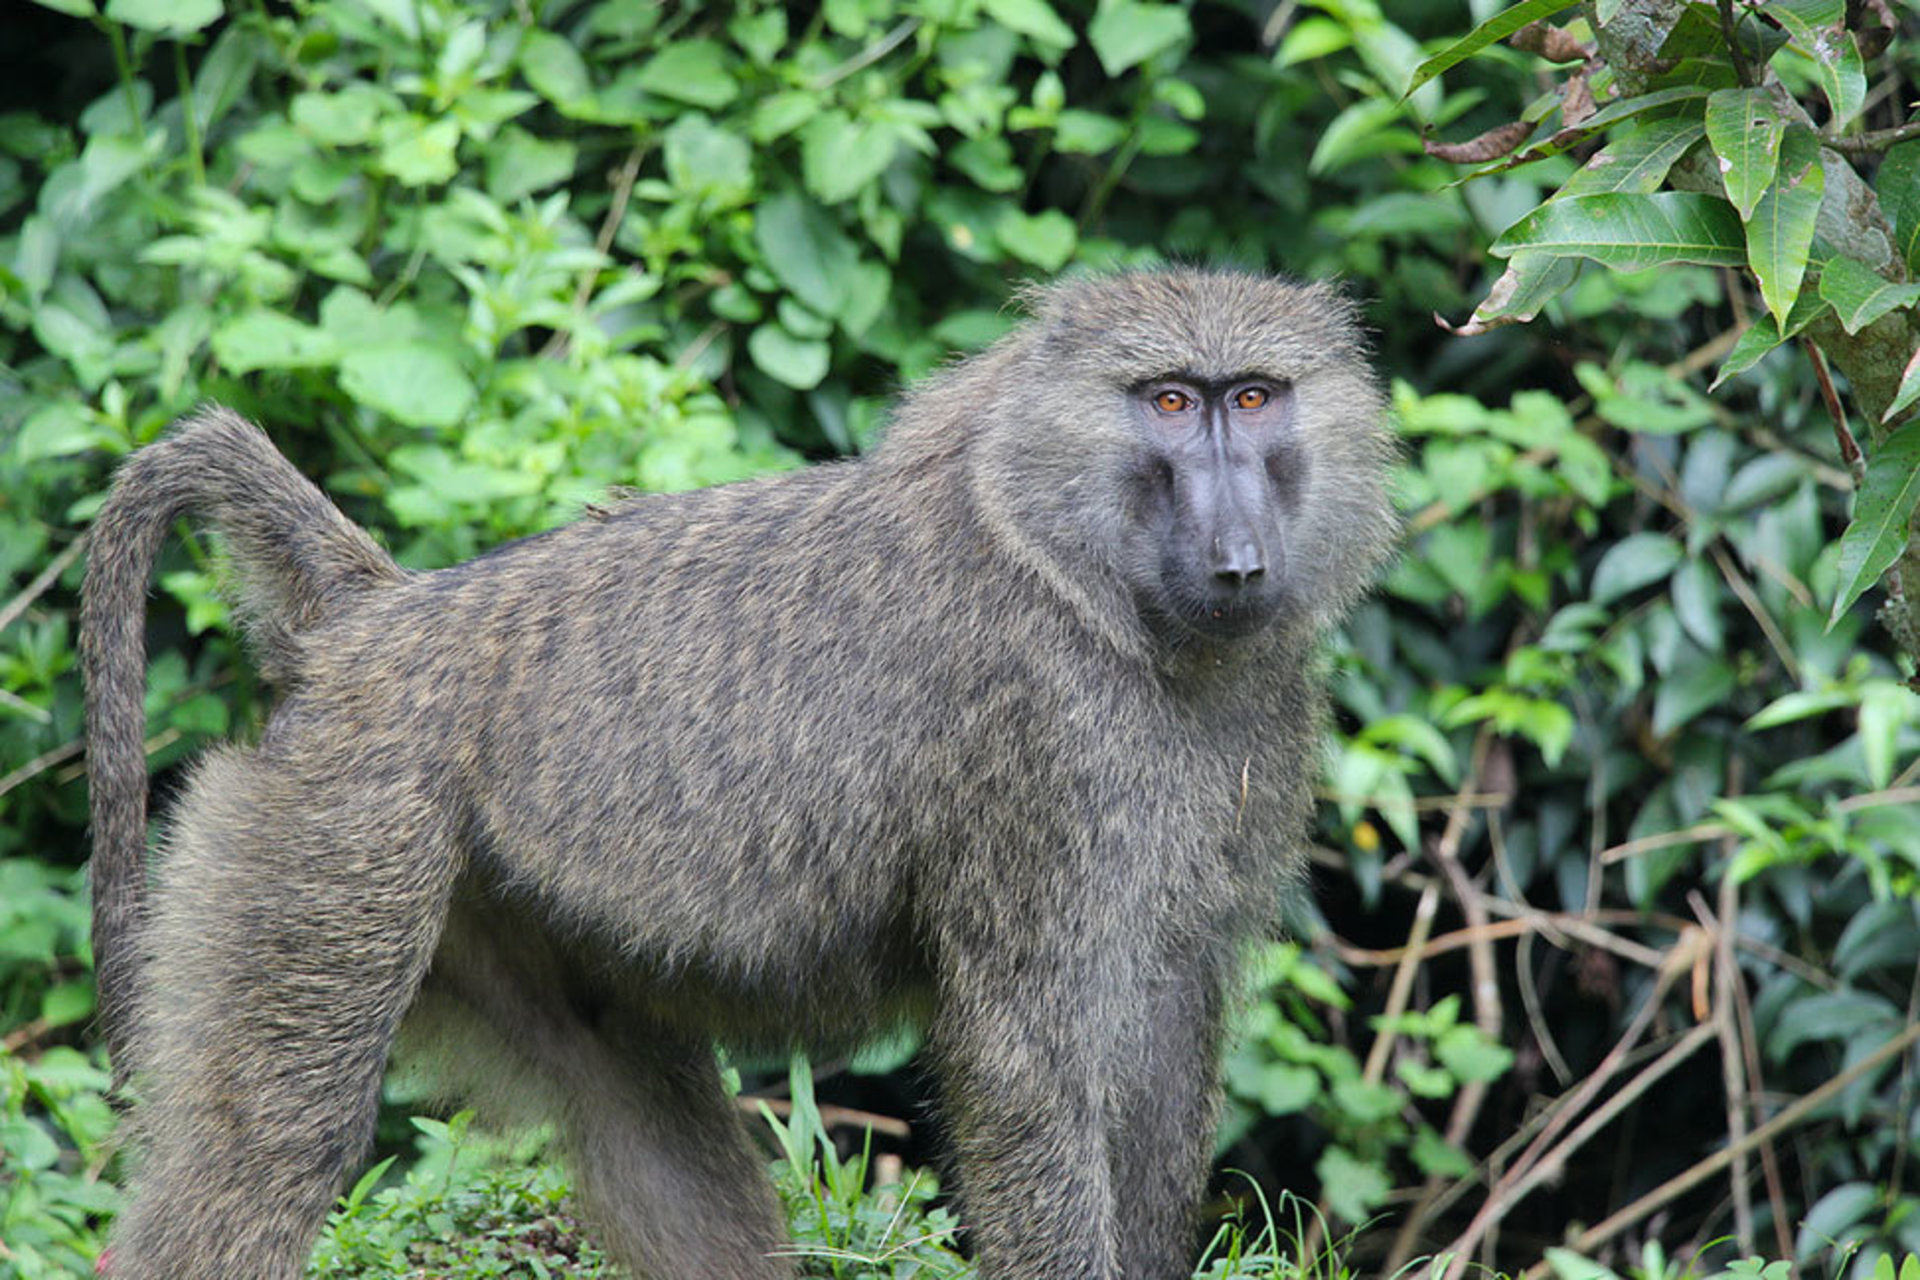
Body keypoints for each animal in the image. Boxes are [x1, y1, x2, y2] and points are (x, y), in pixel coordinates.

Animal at [81, 268, 1397, 1280]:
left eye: (1255, 397)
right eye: (1171, 401)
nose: (1239, 561)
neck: (1078, 565)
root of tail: (375, 623)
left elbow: (1171, 1027)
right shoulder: (1040, 752)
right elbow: (1028, 1063)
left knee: (655, 1138)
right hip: (341, 830)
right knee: (274, 1138)